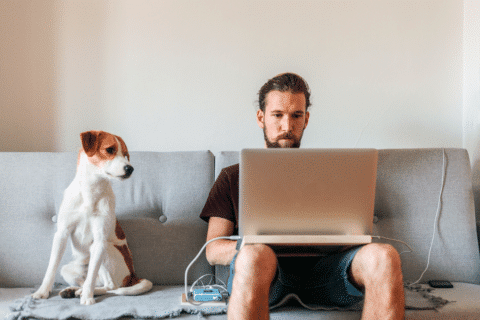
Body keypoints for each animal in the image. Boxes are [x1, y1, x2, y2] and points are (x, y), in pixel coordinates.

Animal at [32, 130, 152, 304]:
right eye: (110, 150)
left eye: (126, 155)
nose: (130, 169)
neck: (90, 191)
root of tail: (133, 276)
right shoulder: (61, 234)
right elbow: (51, 268)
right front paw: (42, 292)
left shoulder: (99, 241)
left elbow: (92, 276)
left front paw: (87, 298)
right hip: (68, 269)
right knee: (91, 281)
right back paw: (73, 290)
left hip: (105, 250)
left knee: (109, 286)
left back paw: (85, 292)